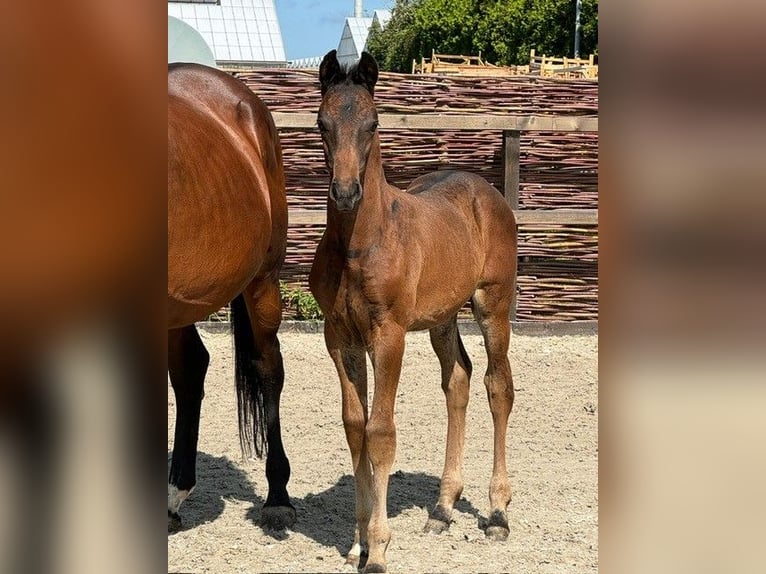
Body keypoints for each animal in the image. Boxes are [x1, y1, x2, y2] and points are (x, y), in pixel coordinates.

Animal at [312, 51, 520, 572]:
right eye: (322, 122)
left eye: (373, 123)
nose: (345, 193)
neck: (359, 244)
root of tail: (486, 191)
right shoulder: (339, 337)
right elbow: (355, 428)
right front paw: (358, 542)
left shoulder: (389, 335)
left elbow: (381, 432)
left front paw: (379, 549)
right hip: (442, 317)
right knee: (459, 380)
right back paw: (443, 508)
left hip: (492, 305)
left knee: (498, 387)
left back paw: (497, 513)